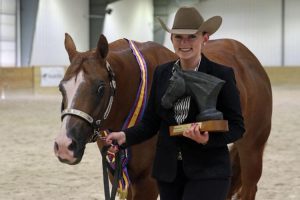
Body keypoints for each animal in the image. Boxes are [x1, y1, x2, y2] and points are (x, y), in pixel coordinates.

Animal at [54, 33, 272, 200]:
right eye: (61, 87)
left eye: (100, 88)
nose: (65, 146)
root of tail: (248, 59)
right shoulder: (117, 174)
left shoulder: (147, 183)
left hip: (252, 149)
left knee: (249, 189)